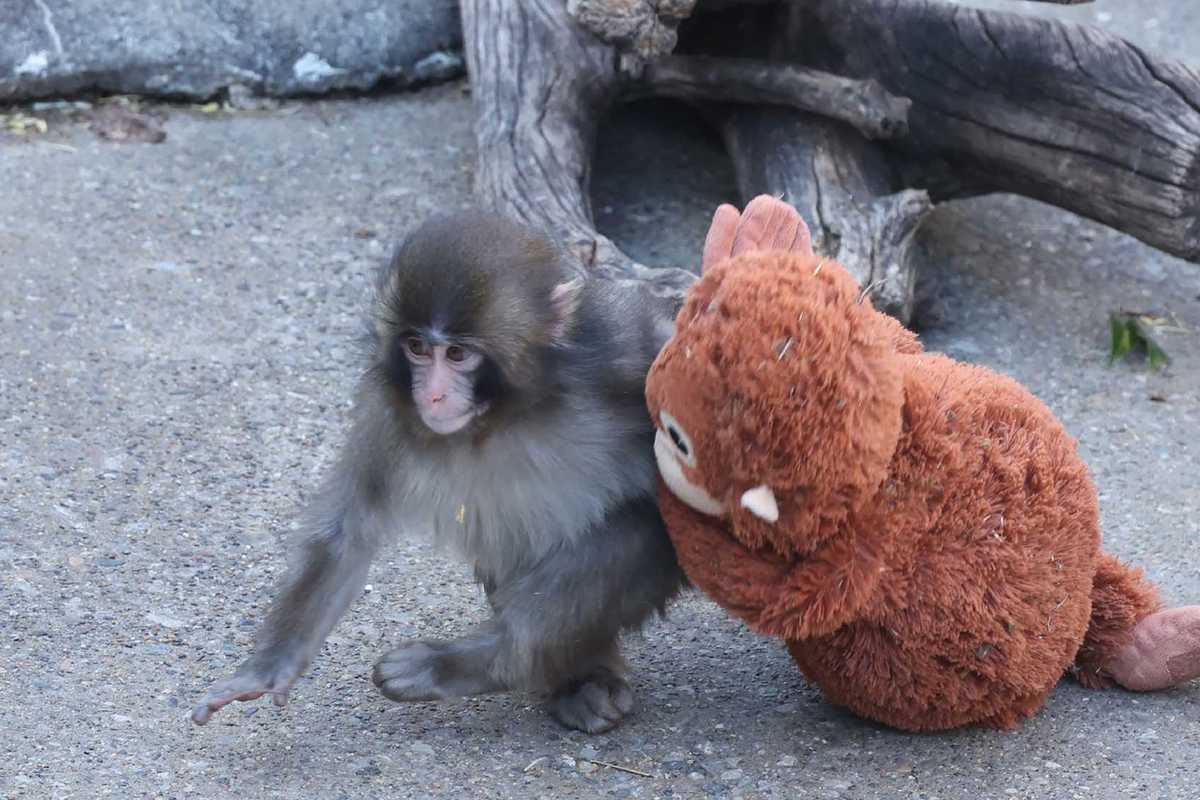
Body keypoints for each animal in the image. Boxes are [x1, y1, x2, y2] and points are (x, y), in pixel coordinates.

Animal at [190, 210, 687, 733]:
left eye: (457, 354)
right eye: (415, 347)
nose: (431, 395)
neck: (508, 413)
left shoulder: (623, 353)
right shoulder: (387, 409)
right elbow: (348, 532)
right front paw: (268, 668)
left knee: (636, 530)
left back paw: (480, 661)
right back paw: (576, 679)